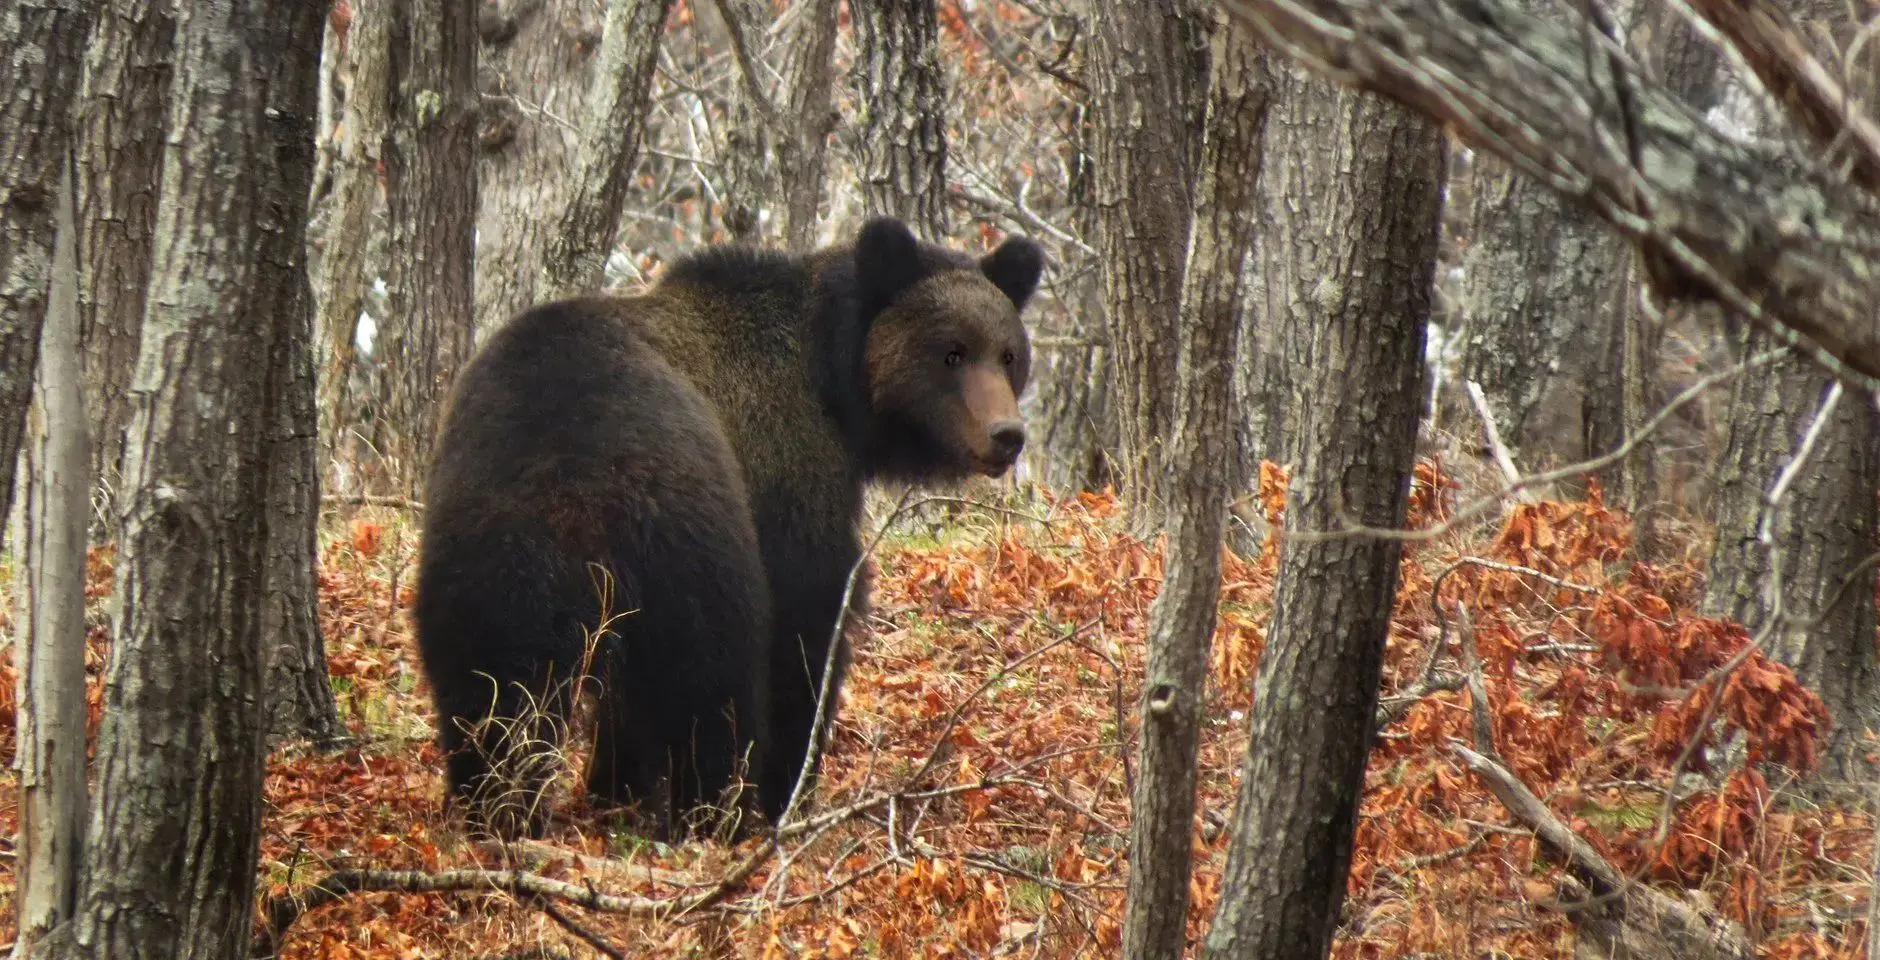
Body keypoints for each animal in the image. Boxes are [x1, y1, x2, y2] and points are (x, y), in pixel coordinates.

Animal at [412, 215, 1045, 841]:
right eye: (951, 353)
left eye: (1008, 354)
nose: (1006, 435)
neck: (834, 384)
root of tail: (569, 486)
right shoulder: (784, 468)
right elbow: (807, 624)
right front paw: (788, 786)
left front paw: (613, 792)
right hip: (683, 532)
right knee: (705, 682)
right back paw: (714, 810)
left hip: (483, 545)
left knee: (494, 685)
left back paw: (499, 805)